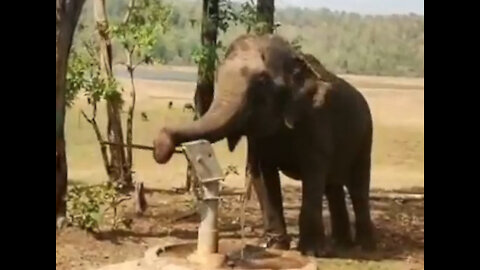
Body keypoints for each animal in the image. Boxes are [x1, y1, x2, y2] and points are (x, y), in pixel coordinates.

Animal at [153, 34, 376, 256]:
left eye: (261, 82)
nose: (160, 144)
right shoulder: (260, 138)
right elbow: (262, 174)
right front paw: (276, 245)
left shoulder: (317, 121)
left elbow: (313, 175)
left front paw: (311, 252)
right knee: (333, 187)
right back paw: (341, 244)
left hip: (365, 136)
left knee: (357, 187)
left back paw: (364, 246)